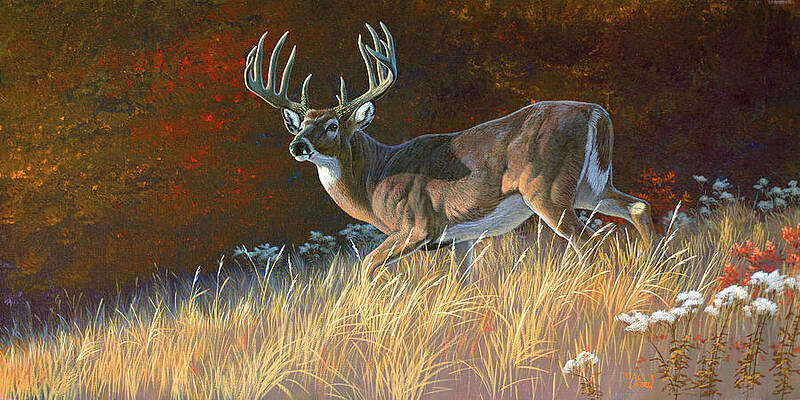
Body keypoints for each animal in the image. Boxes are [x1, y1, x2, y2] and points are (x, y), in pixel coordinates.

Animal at [244, 22, 657, 281]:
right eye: (302, 123)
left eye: (332, 125)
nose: (298, 145)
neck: (376, 179)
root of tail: (595, 112)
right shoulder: (462, 239)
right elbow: (461, 282)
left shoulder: (417, 225)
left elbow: (368, 266)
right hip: (590, 184)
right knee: (638, 206)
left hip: (547, 188)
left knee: (587, 241)